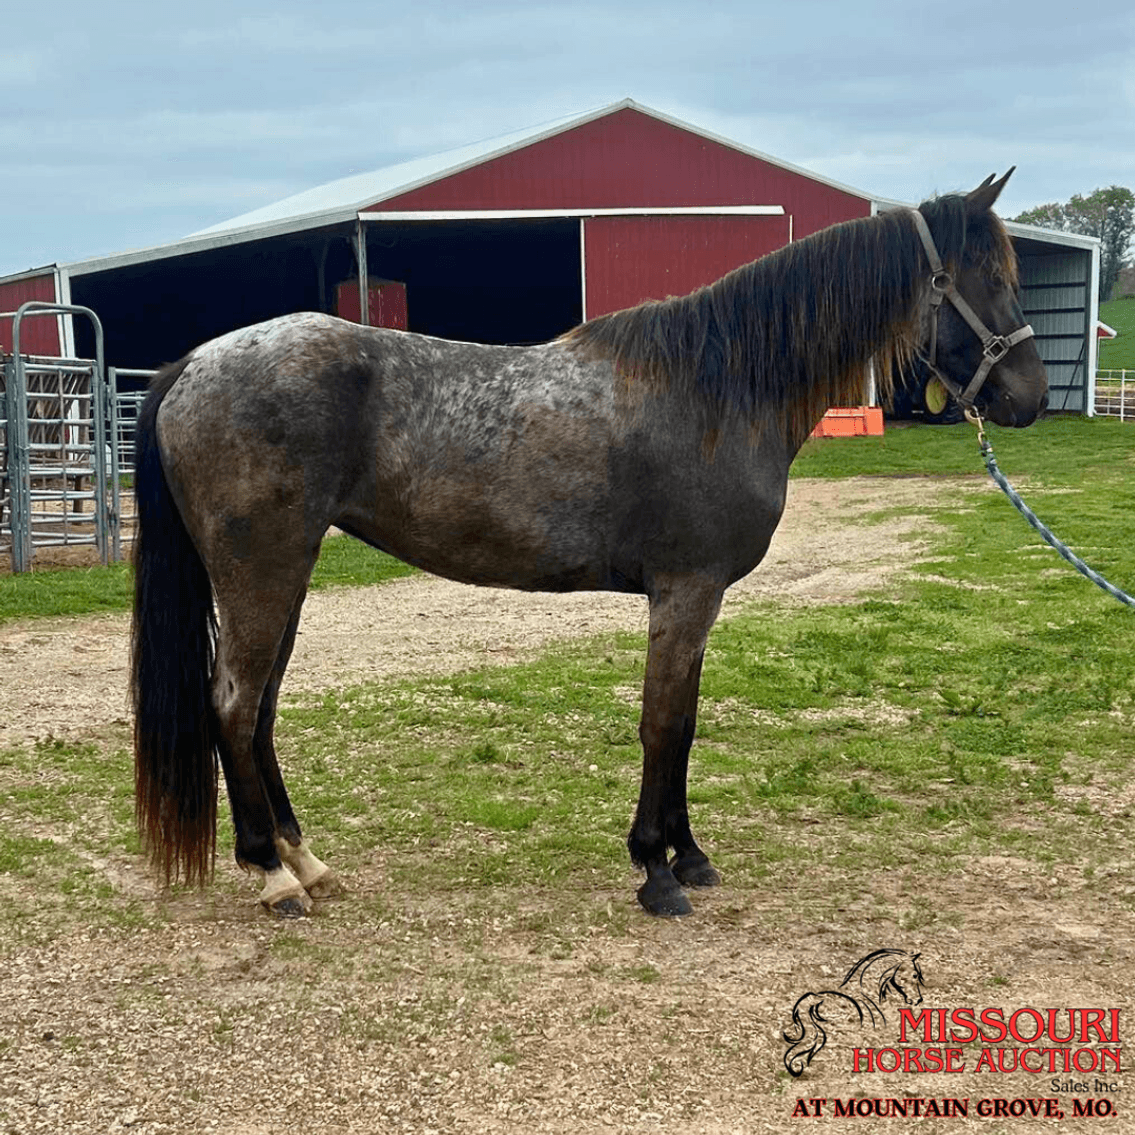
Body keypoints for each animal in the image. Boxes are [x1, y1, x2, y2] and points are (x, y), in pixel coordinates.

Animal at [131, 171, 1047, 918]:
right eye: (988, 277)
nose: (1029, 396)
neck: (719, 388)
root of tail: (194, 364)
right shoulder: (685, 589)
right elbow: (661, 723)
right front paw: (657, 871)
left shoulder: (697, 598)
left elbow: (684, 723)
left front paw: (690, 853)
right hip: (262, 572)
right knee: (233, 704)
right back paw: (272, 877)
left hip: (286, 572)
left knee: (259, 712)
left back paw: (305, 861)